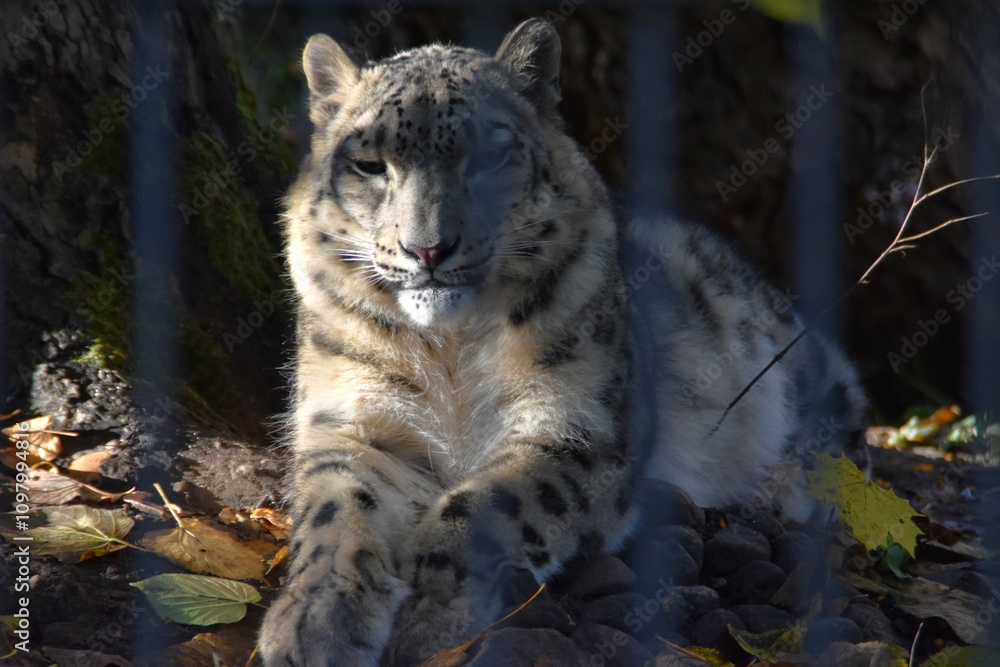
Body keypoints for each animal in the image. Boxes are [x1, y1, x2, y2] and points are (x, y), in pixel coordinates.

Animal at [258, 18, 867, 666]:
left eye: (488, 155)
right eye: (370, 163)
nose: (428, 248)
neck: (449, 352)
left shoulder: (579, 427)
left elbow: (487, 504)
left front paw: (433, 615)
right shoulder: (351, 423)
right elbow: (334, 511)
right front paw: (314, 620)